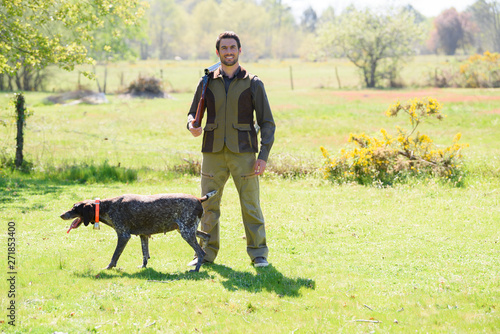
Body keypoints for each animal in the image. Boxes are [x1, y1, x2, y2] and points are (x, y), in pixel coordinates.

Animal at [59, 190, 216, 272]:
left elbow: (115, 255)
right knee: (207, 236)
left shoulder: (123, 235)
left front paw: (109, 267)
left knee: (201, 251)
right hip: (185, 230)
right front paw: (143, 267)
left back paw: (196, 270)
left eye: (75, 208)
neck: (107, 207)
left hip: (186, 232)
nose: (61, 215)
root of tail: (198, 199)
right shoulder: (143, 235)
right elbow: (145, 254)